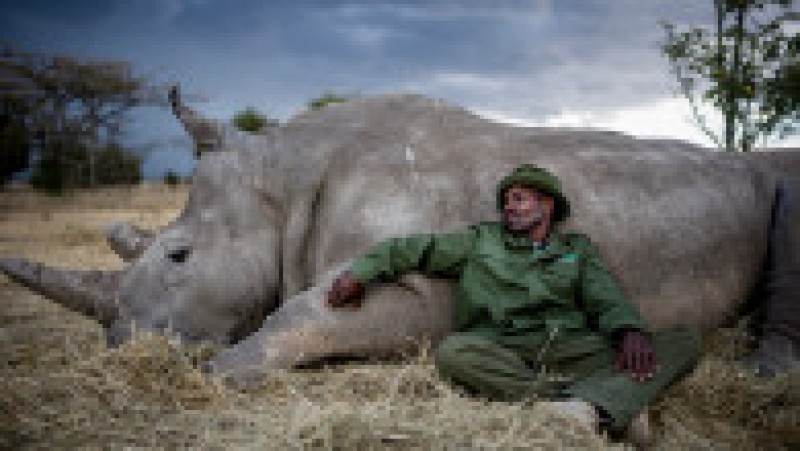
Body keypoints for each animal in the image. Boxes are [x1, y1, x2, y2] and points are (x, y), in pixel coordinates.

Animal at [1, 91, 800, 384]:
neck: (283, 180)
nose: (124, 350)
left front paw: (220, 373)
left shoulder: (425, 295)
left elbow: (301, 314)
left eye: (179, 256)